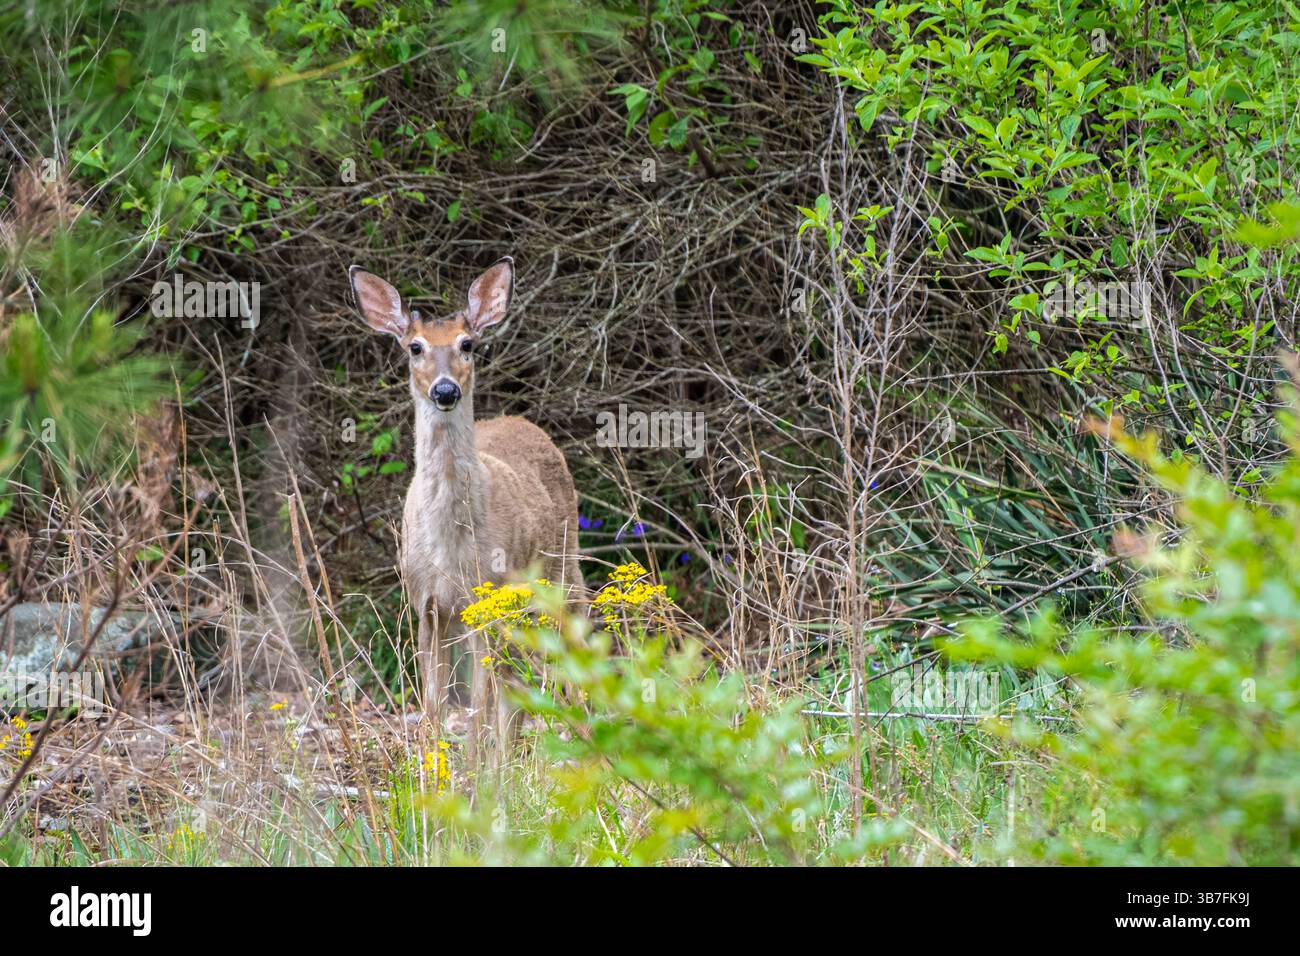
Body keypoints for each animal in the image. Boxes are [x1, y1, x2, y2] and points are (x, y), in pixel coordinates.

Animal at [348, 257, 582, 765]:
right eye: (414, 346)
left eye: (467, 343)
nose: (445, 390)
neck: (451, 544)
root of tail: (525, 423)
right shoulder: (426, 604)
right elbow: (434, 707)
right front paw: (435, 774)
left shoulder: (483, 599)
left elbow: (477, 708)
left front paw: (475, 776)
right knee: (514, 686)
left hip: (562, 571)